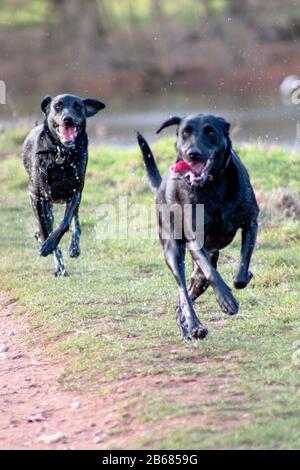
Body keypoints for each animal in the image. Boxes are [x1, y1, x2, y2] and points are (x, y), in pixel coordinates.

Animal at [22, 93, 105, 276]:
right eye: (58, 106)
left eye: (78, 107)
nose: (68, 119)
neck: (62, 153)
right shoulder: (36, 196)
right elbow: (44, 227)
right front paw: (47, 245)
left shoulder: (75, 192)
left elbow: (66, 223)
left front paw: (52, 243)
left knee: (76, 222)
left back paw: (74, 247)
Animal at [137, 114, 258, 342]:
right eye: (185, 133)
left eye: (210, 131)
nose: (192, 153)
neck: (213, 185)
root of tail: (161, 186)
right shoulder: (195, 240)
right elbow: (212, 274)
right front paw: (227, 300)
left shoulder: (251, 222)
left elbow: (242, 266)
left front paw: (243, 278)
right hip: (173, 250)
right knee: (183, 293)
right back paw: (194, 327)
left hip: (199, 272)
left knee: (183, 301)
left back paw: (190, 330)